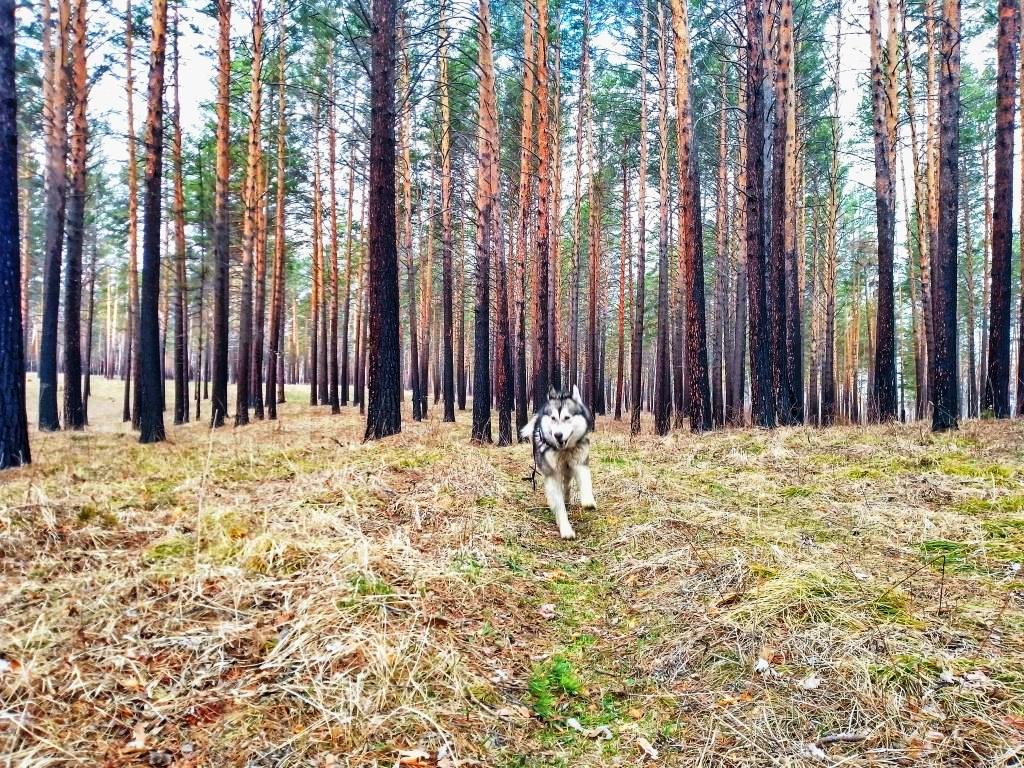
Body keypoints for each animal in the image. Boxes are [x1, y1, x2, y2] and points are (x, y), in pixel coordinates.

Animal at [524, 385, 598, 540]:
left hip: (568, 470)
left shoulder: (580, 462)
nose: (558, 435)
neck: (564, 450)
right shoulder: (552, 476)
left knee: (567, 484)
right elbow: (559, 506)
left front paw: (588, 501)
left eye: (567, 418)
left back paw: (567, 497)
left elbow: (585, 483)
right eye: (553, 418)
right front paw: (566, 529)